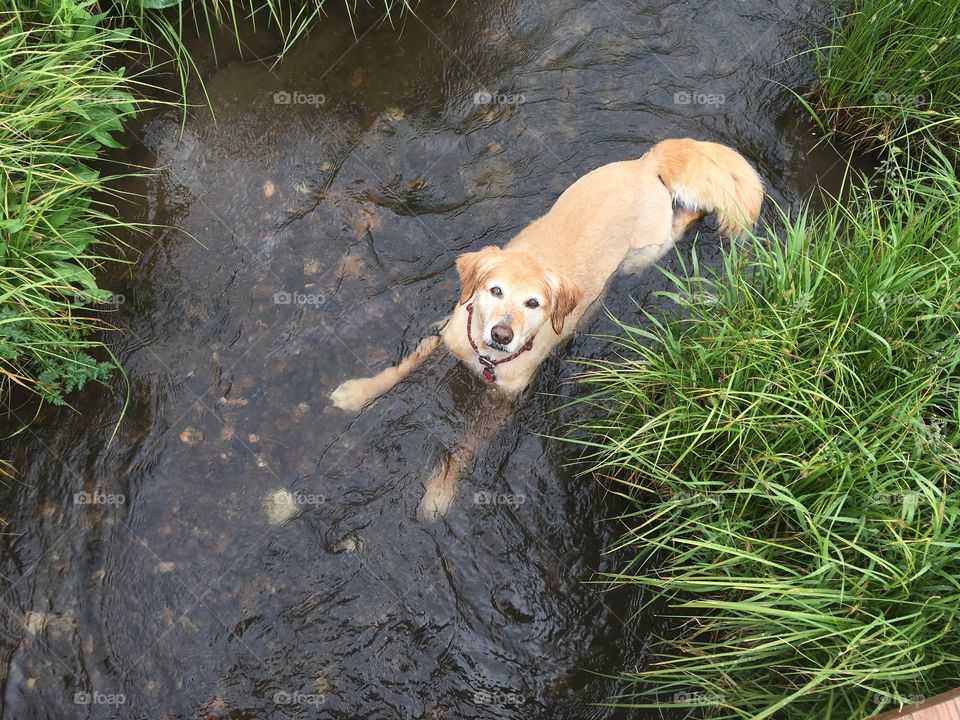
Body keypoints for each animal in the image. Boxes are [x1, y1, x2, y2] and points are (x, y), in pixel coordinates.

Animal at [330, 136, 764, 516]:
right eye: (495, 290)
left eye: (533, 303)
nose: (501, 335)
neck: (484, 358)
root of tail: (646, 164)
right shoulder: (447, 336)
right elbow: (400, 368)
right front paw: (356, 393)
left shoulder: (504, 405)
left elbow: (462, 451)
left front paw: (439, 494)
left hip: (645, 252)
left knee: (679, 222)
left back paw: (694, 215)